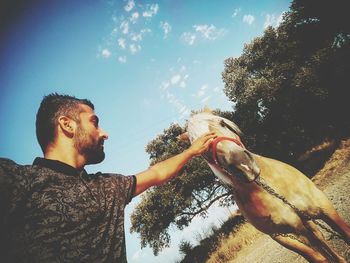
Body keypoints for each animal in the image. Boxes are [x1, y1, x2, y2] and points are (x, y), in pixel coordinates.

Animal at [180, 108, 350, 262]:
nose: (242, 164)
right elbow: (318, 255)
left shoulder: (325, 207)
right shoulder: (292, 233)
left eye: (222, 123)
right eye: (203, 150)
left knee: (321, 239)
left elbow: (344, 232)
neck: (271, 187)